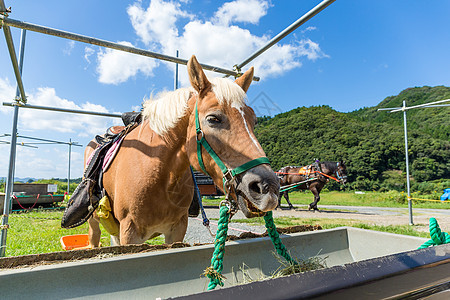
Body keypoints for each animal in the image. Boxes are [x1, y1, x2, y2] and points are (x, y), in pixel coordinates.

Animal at [84, 55, 280, 246]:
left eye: (254, 121)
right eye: (213, 119)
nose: (268, 187)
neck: (160, 176)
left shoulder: (177, 230)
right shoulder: (129, 232)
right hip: (94, 224)